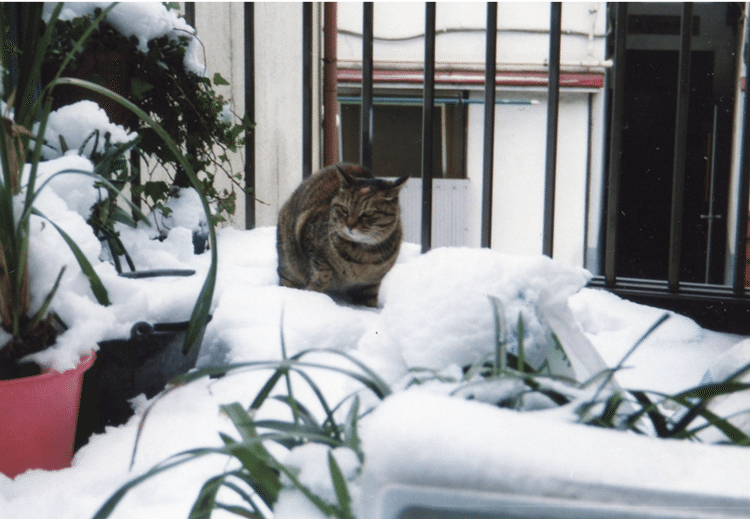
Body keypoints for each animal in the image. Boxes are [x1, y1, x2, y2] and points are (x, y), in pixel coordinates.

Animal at [276, 165, 408, 306]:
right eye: (344, 209)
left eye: (369, 213)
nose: (350, 225)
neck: (363, 257)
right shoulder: (309, 239)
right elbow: (324, 272)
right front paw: (313, 290)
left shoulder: (371, 283)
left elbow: (368, 298)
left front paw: (369, 308)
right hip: (288, 261)